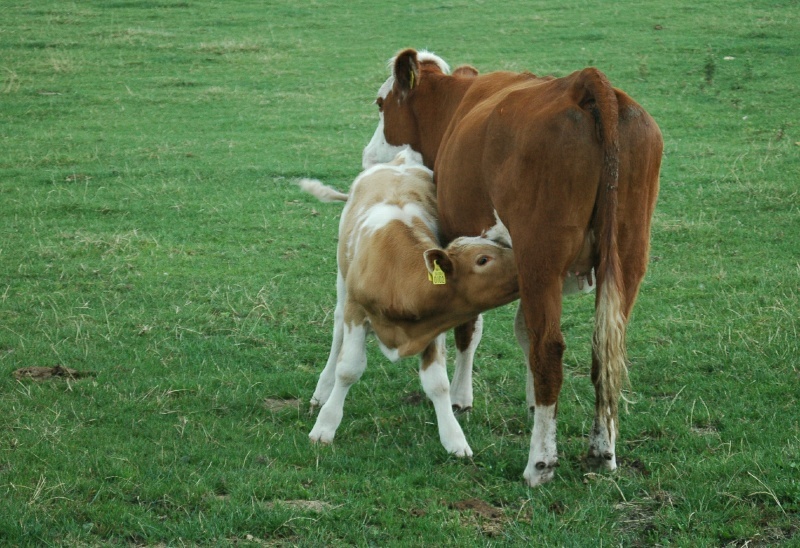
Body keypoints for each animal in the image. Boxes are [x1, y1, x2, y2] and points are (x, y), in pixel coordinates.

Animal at [300, 148, 520, 456]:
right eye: (483, 259)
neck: (398, 276)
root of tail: (400, 160)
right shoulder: (357, 311)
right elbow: (349, 369)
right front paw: (325, 426)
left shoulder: (433, 326)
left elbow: (438, 384)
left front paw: (454, 438)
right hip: (342, 283)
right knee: (337, 330)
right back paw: (322, 389)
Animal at [362, 49, 664, 486]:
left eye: (381, 103)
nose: (368, 160)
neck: (455, 106)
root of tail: (584, 84)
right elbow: (523, 329)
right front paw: (533, 403)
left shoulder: (462, 239)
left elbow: (469, 327)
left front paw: (461, 398)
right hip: (627, 254)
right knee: (604, 351)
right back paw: (602, 451)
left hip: (541, 254)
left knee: (549, 349)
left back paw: (540, 463)